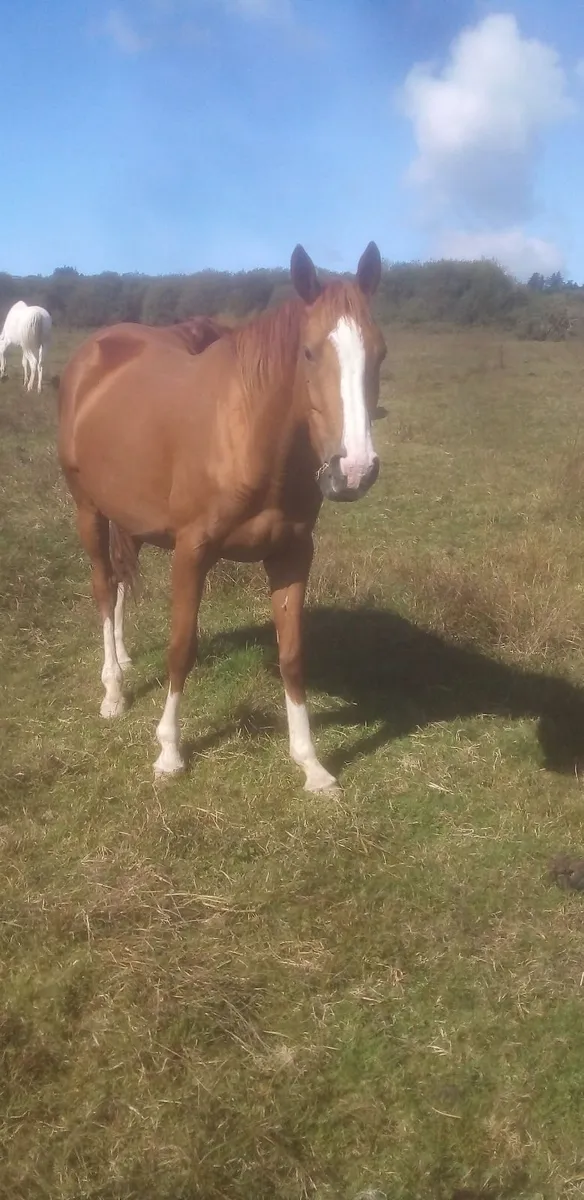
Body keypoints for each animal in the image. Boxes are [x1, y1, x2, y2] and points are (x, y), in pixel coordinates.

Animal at [58, 243, 386, 791]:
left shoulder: (293, 554)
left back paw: (123, 657)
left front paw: (311, 763)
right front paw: (169, 752)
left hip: (131, 517)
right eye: (309, 352)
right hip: (89, 511)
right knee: (104, 587)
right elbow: (180, 649)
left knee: (121, 582)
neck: (250, 436)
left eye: (379, 353)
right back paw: (113, 690)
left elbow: (292, 655)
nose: (354, 471)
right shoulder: (192, 552)